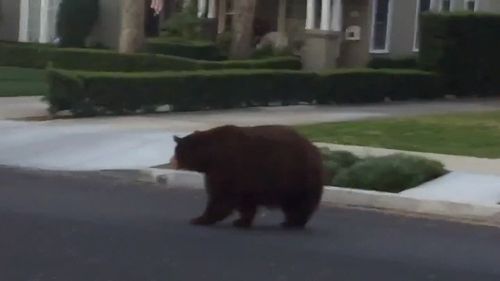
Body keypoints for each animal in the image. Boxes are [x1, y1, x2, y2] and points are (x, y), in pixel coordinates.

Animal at [172, 124, 324, 228]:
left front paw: (199, 219)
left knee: (300, 202)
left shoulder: (226, 167)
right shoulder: (245, 180)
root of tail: (315, 149)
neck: (209, 156)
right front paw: (241, 221)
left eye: (178, 152)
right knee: (292, 203)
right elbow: (245, 202)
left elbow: (221, 196)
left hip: (297, 176)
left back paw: (294, 222)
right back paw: (290, 221)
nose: (174, 162)